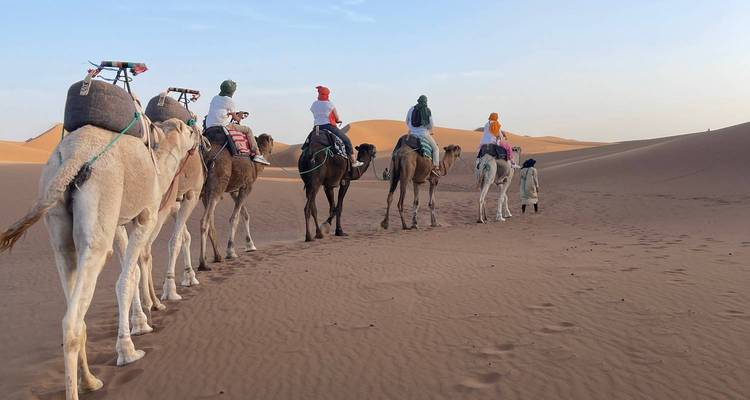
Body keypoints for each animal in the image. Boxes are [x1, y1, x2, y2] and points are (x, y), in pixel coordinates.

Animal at [0, 118, 196, 400]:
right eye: (189, 130)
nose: (198, 136)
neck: (158, 171)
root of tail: (73, 156)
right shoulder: (145, 215)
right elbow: (126, 279)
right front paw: (129, 349)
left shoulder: (119, 222)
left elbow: (132, 272)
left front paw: (140, 324)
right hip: (101, 205)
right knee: (72, 320)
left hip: (59, 228)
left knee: (72, 293)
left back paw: (90, 382)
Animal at [198, 133, 274, 270]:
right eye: (271, 140)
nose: (273, 143)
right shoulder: (247, 185)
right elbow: (235, 218)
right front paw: (231, 251)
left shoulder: (234, 189)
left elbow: (245, 214)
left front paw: (250, 245)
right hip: (218, 185)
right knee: (205, 220)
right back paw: (203, 264)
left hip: (203, 191)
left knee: (210, 220)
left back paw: (217, 257)